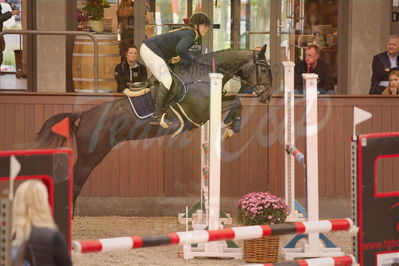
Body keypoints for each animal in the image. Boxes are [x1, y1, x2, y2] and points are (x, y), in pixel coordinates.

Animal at [32, 44, 274, 207]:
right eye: (263, 70)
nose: (268, 96)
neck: (204, 76)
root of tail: (84, 114)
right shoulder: (200, 113)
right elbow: (235, 102)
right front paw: (231, 125)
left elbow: (236, 100)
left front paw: (231, 126)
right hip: (89, 157)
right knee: (74, 185)